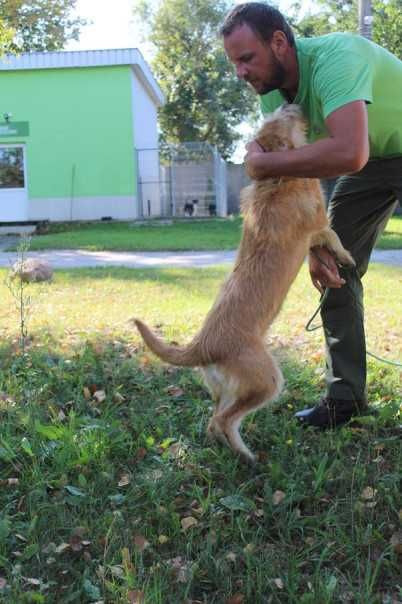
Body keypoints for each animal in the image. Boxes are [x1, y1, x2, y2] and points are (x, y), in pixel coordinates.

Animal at [133, 104, 354, 464]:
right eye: (282, 115)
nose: (292, 103)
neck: (276, 176)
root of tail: (202, 346)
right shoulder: (319, 227)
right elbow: (334, 238)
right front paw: (346, 258)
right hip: (267, 381)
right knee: (224, 420)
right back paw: (248, 457)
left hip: (226, 389)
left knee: (214, 421)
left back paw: (231, 453)